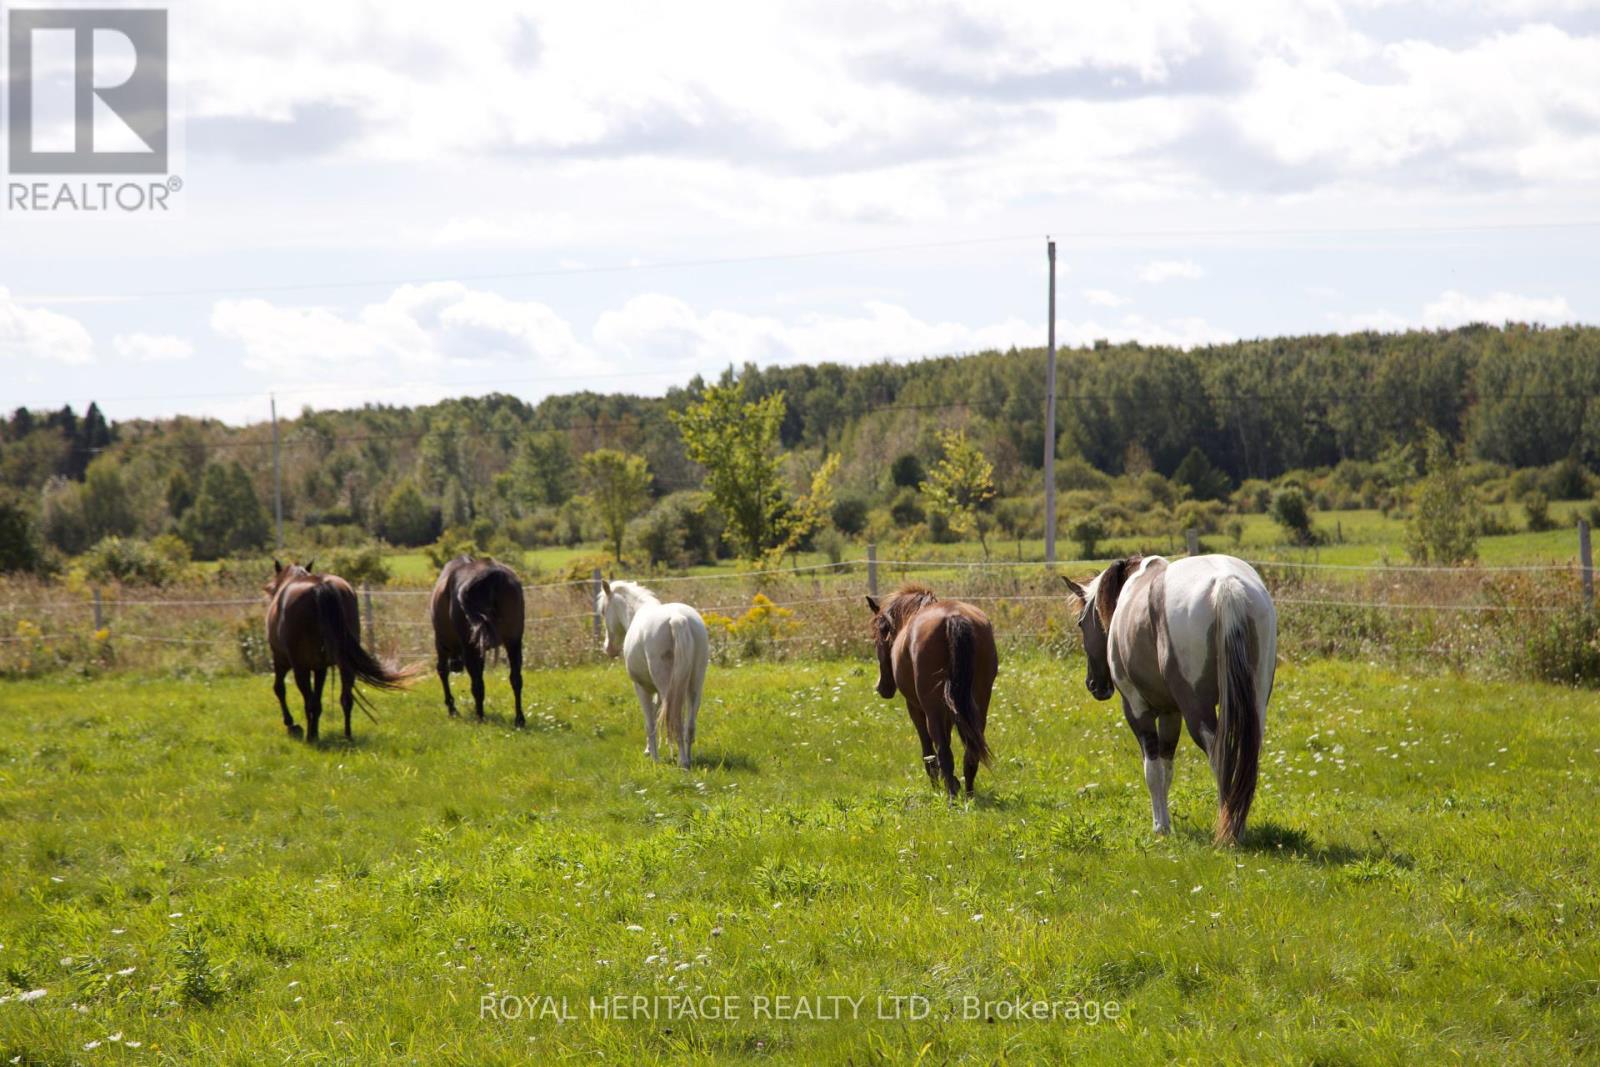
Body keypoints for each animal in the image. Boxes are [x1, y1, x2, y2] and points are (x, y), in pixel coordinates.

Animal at [262, 559, 416, 742]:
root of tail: (320, 586)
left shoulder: (281, 660)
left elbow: (279, 689)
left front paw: (292, 724)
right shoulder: (320, 668)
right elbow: (318, 700)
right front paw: (314, 731)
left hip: (300, 667)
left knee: (309, 701)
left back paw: (310, 737)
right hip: (344, 663)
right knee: (345, 698)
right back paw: (346, 735)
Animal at [428, 559, 528, 726]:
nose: (456, 666)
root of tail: (492, 575)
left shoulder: (442, 643)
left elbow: (442, 671)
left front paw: (452, 709)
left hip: (468, 647)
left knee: (477, 684)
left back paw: (479, 716)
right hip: (513, 642)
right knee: (516, 679)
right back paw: (519, 719)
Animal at [595, 585, 707, 767]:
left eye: (603, 611)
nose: (608, 649)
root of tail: (678, 618)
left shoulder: (641, 687)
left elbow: (650, 722)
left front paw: (654, 758)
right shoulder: (657, 691)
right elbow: (656, 713)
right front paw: (648, 750)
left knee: (675, 720)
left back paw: (683, 762)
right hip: (695, 685)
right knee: (689, 724)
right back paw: (688, 759)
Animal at [864, 585, 998, 799]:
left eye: (877, 638)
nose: (881, 688)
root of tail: (953, 617)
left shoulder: (916, 709)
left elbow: (928, 752)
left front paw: (938, 787)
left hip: (932, 710)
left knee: (943, 752)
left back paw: (951, 796)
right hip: (979, 704)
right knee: (971, 752)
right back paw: (968, 795)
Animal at [1068, 556, 1280, 844]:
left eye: (1081, 623)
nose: (1094, 685)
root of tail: (1226, 585)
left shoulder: (1137, 709)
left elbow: (1153, 770)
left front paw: (1160, 827)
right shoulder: (1171, 714)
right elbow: (1167, 769)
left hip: (1197, 710)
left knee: (1221, 759)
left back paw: (1227, 831)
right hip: (1255, 704)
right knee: (1246, 760)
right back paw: (1239, 825)